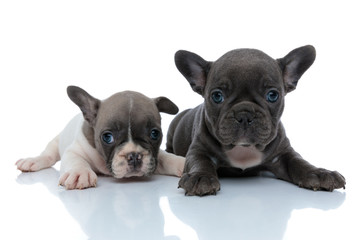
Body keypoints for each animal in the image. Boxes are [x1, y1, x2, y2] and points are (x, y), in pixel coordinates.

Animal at [16, 86, 186, 189]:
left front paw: (182, 163)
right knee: (48, 155)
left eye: (155, 134)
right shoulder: (75, 150)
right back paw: (32, 161)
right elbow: (76, 160)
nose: (134, 156)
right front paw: (79, 173)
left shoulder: (154, 156)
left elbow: (166, 158)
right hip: (55, 143)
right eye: (107, 137)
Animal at [166, 46, 346, 196]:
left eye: (272, 95)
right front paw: (200, 177)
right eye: (217, 96)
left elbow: (298, 162)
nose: (244, 114)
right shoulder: (198, 149)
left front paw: (319, 173)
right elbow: (200, 161)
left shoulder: (283, 153)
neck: (244, 150)